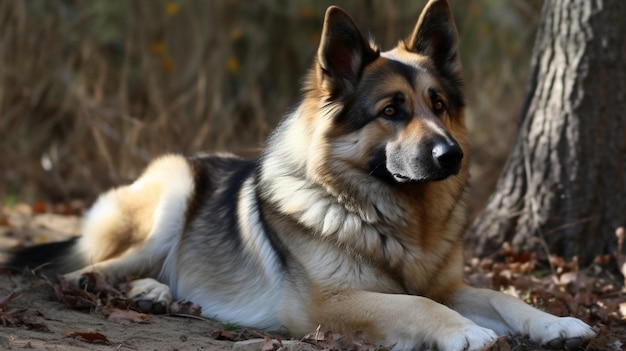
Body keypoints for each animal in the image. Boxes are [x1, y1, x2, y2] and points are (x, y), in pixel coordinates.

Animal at [8, 0, 596, 351]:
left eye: (439, 105)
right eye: (391, 111)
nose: (451, 156)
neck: (391, 218)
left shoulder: (451, 284)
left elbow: (500, 297)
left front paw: (556, 323)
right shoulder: (330, 303)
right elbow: (417, 303)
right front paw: (468, 334)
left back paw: (159, 292)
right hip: (174, 190)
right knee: (81, 273)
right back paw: (138, 289)